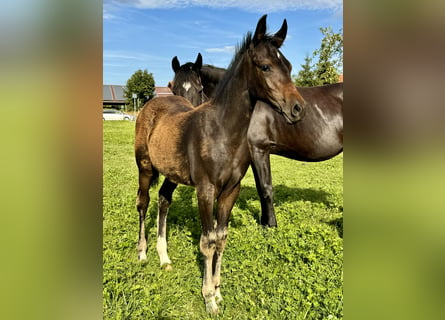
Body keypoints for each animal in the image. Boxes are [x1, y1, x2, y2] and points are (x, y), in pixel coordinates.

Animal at [134, 14, 306, 312]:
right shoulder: (206, 189)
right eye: (265, 66)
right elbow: (207, 241)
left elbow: (221, 238)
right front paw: (208, 299)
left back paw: (164, 258)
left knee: (164, 200)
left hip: (171, 174)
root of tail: (149, 106)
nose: (298, 109)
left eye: (289, 66)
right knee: (143, 202)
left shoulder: (230, 191)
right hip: (145, 167)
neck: (223, 132)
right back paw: (143, 253)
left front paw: (217, 290)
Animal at [172, 60, 342, 226]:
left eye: (199, 89)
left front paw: (271, 225)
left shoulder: (259, 150)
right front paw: (264, 222)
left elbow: (266, 188)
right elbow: (260, 189)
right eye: (173, 90)